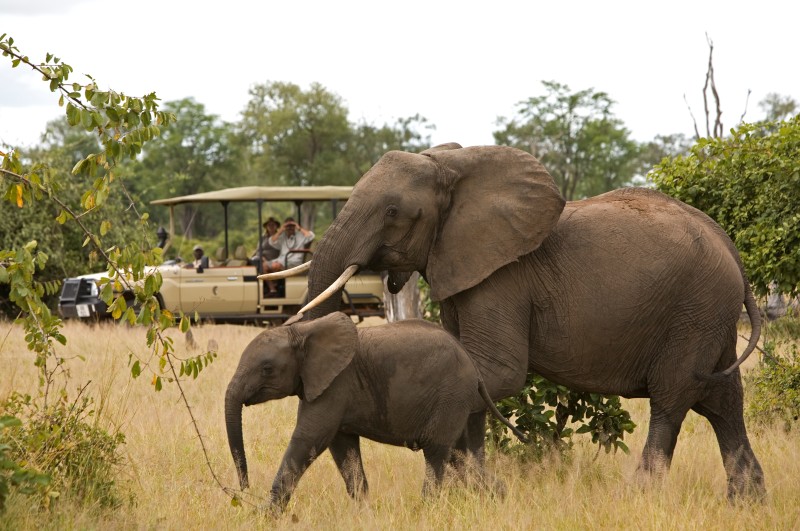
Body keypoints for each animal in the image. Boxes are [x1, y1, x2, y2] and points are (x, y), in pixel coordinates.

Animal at [227, 312, 524, 512]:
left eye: (267, 369)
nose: (243, 489)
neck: (302, 330)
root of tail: (474, 369)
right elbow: (342, 447)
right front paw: (363, 512)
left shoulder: (336, 383)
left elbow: (309, 439)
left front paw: (264, 515)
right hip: (457, 401)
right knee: (459, 455)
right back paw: (499, 496)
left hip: (450, 395)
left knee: (437, 452)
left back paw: (425, 510)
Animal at [292, 143, 764, 500]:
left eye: (392, 211)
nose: (363, 497)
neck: (452, 164)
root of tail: (731, 248)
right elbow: (469, 373)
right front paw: (476, 493)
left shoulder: (503, 278)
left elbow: (495, 372)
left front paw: (476, 490)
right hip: (709, 315)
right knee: (723, 401)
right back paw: (746, 501)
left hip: (695, 311)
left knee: (671, 399)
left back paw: (640, 496)